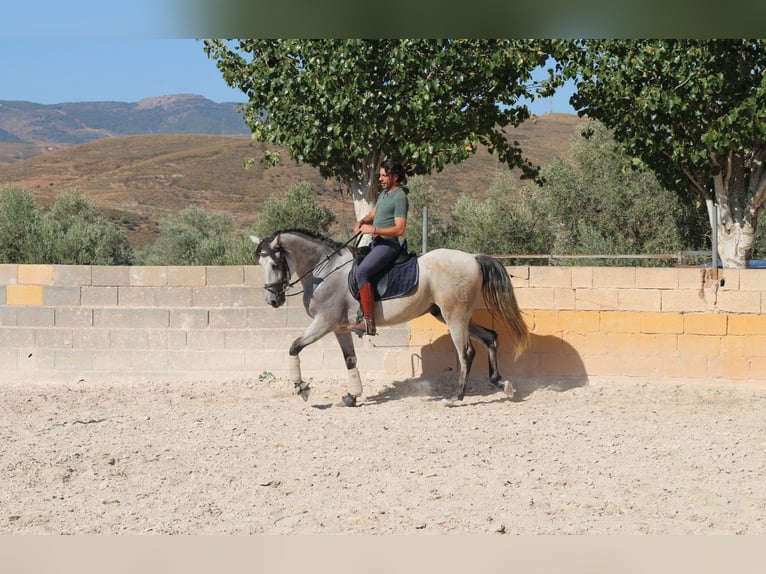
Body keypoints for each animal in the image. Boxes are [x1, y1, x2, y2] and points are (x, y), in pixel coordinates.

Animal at [251, 227, 529, 407]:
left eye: (275, 264)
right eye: (260, 265)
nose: (272, 300)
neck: (325, 269)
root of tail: (472, 257)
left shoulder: (324, 322)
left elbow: (294, 347)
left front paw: (302, 388)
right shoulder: (339, 328)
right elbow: (350, 360)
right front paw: (352, 397)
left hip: (455, 317)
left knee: (466, 353)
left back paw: (455, 398)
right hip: (450, 315)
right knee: (490, 337)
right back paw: (501, 383)